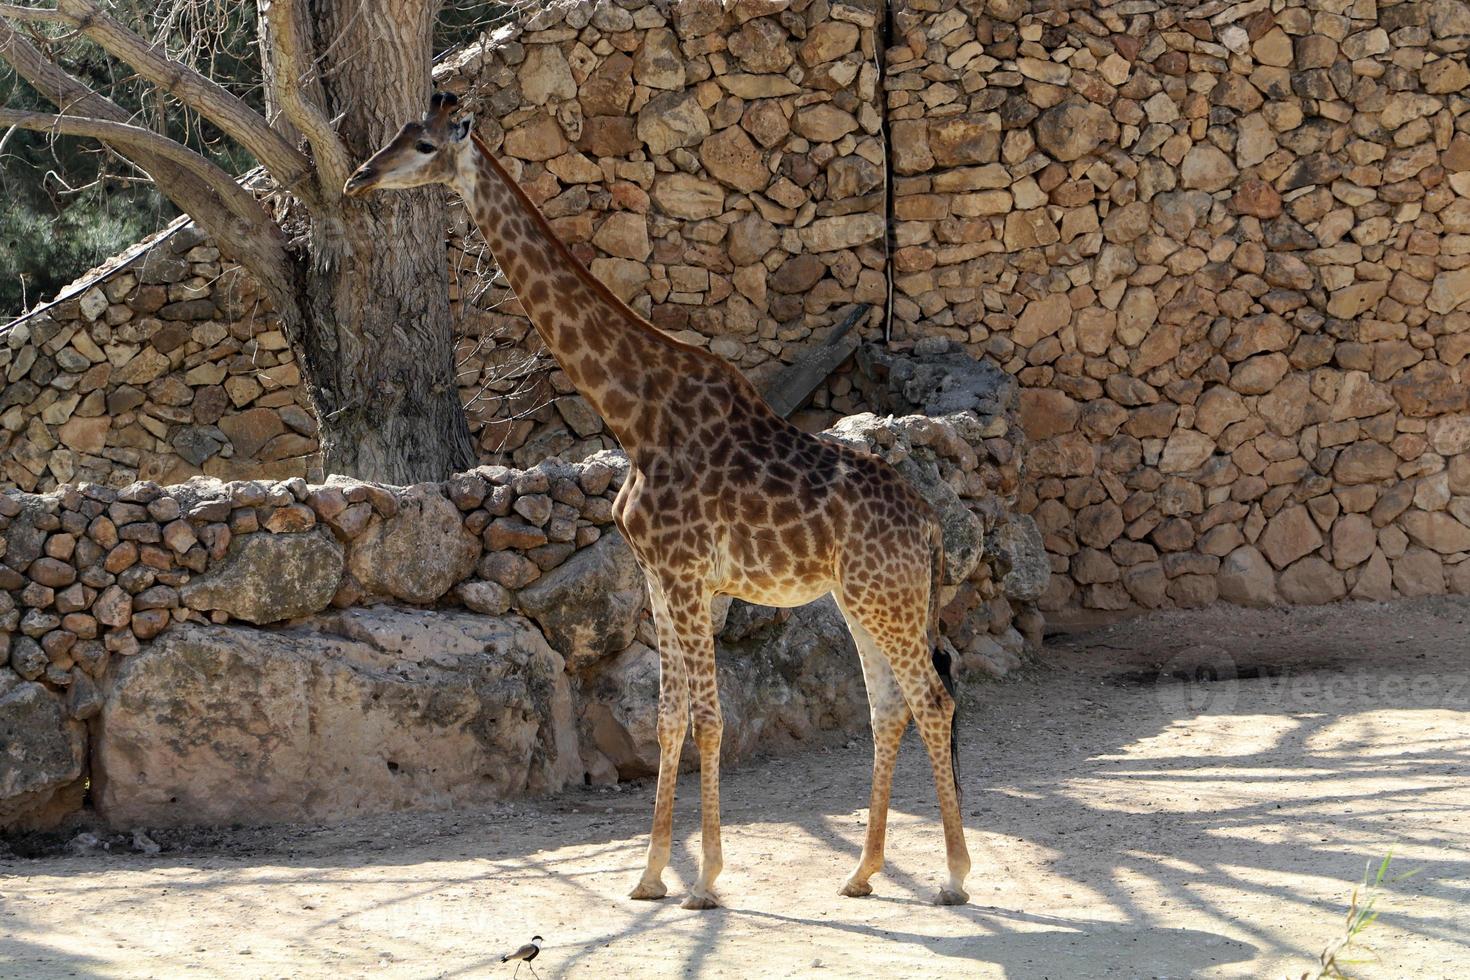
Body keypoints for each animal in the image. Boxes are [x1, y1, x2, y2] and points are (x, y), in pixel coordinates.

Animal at [341, 94, 964, 910]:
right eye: (394, 135)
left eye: (420, 145)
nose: (356, 177)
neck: (635, 416)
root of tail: (929, 524)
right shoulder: (659, 578)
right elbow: (668, 718)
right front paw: (649, 876)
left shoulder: (689, 573)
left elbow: (708, 718)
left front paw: (705, 880)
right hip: (861, 597)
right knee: (889, 705)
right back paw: (861, 873)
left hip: (884, 596)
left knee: (932, 699)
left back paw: (953, 877)